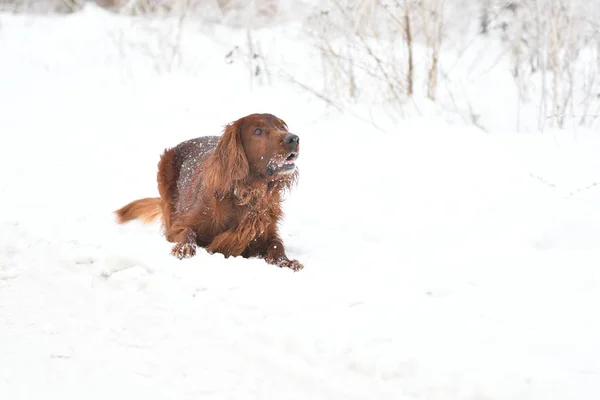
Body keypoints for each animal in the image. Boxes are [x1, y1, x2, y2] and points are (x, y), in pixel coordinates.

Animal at [116, 112, 304, 272]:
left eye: (282, 127)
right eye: (258, 131)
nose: (294, 139)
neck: (246, 193)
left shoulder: (264, 232)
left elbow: (276, 244)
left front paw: (286, 262)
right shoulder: (178, 226)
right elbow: (187, 232)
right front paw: (184, 248)